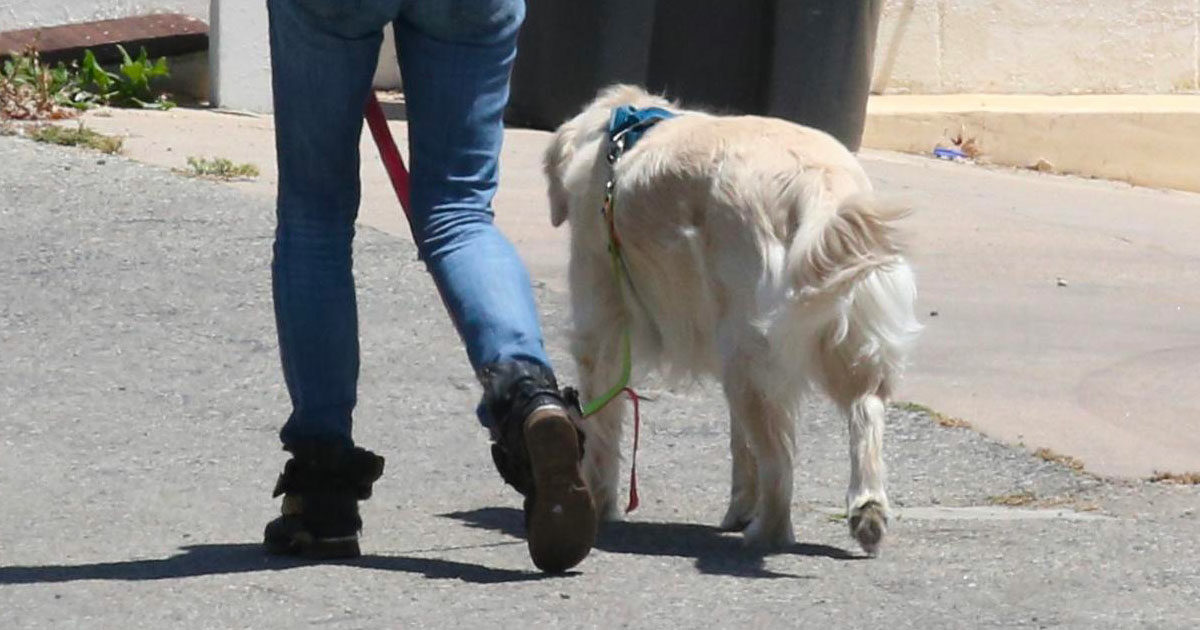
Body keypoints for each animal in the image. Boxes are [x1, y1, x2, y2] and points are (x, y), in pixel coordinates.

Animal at [544, 85, 916, 552]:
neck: (616, 140)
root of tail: (821, 183)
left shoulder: (600, 327)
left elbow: (602, 429)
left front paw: (597, 504)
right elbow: (741, 446)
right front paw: (739, 508)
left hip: (751, 348)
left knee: (781, 462)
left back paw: (766, 533)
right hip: (834, 341)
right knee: (863, 414)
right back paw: (866, 514)